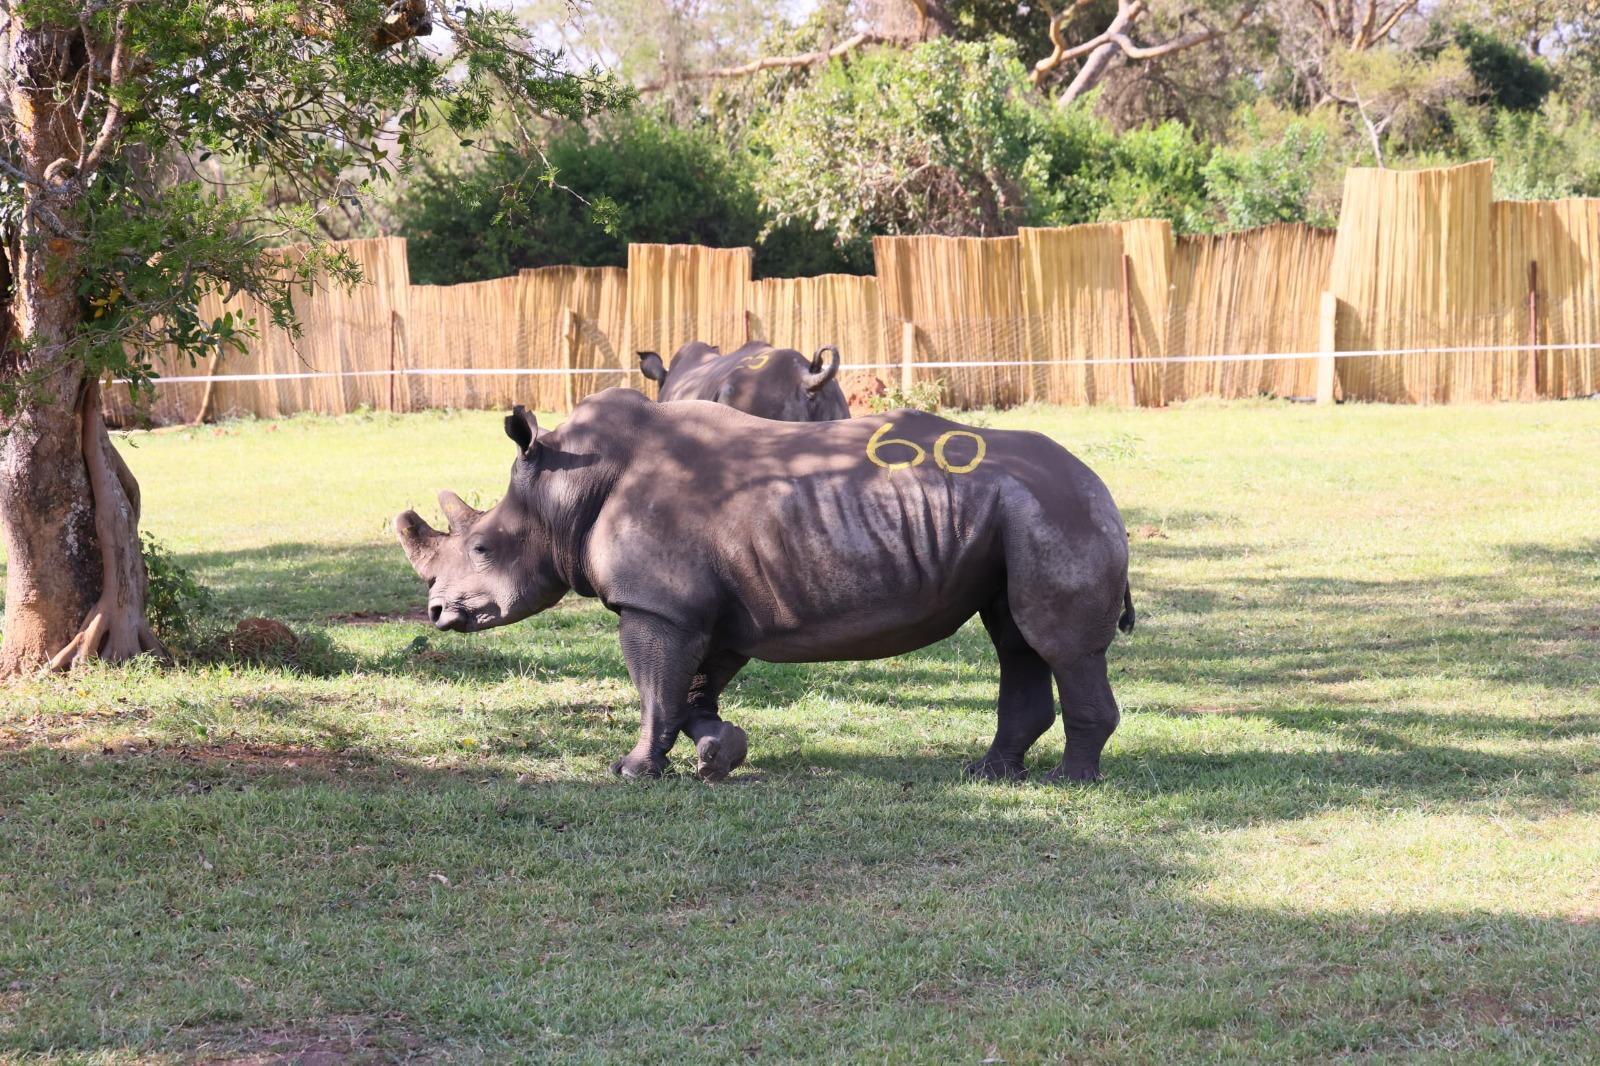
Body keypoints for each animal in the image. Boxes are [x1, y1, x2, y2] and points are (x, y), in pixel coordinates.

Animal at [395, 389, 1134, 784]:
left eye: (483, 549)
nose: (436, 611)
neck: (563, 491)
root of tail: (1099, 484)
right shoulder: (709, 609)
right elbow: (689, 690)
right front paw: (719, 753)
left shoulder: (658, 606)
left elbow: (655, 687)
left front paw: (633, 770)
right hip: (1022, 512)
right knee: (1015, 641)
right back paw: (988, 774)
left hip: (1053, 511)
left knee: (1057, 645)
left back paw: (1070, 782)